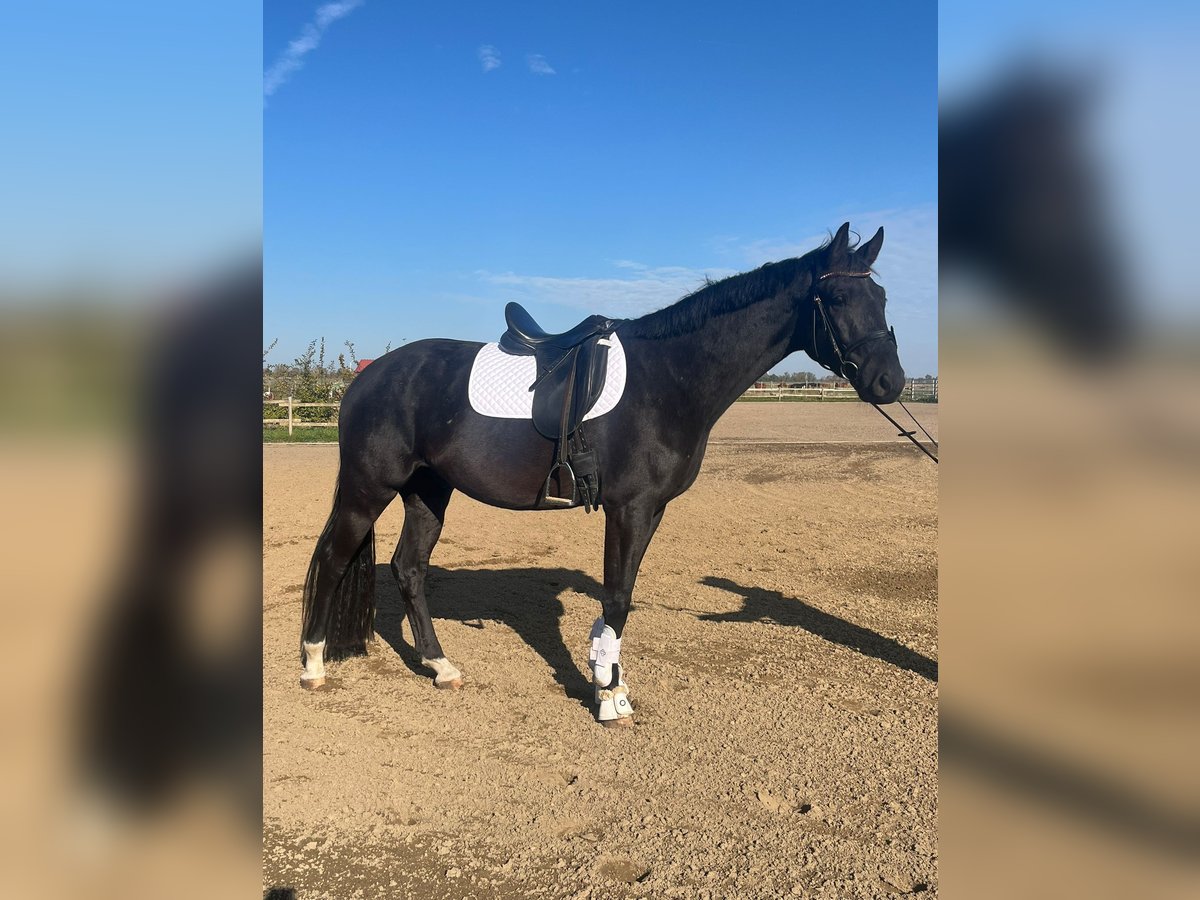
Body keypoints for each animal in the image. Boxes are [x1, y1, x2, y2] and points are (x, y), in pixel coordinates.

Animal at [297, 224, 902, 724]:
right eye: (839, 297)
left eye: (882, 297)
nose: (890, 382)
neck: (669, 378)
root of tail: (368, 377)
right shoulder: (628, 508)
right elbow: (616, 599)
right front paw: (609, 698)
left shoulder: (650, 510)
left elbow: (622, 594)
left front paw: (610, 679)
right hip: (368, 488)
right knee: (331, 560)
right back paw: (314, 666)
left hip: (428, 490)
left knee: (409, 569)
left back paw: (440, 666)